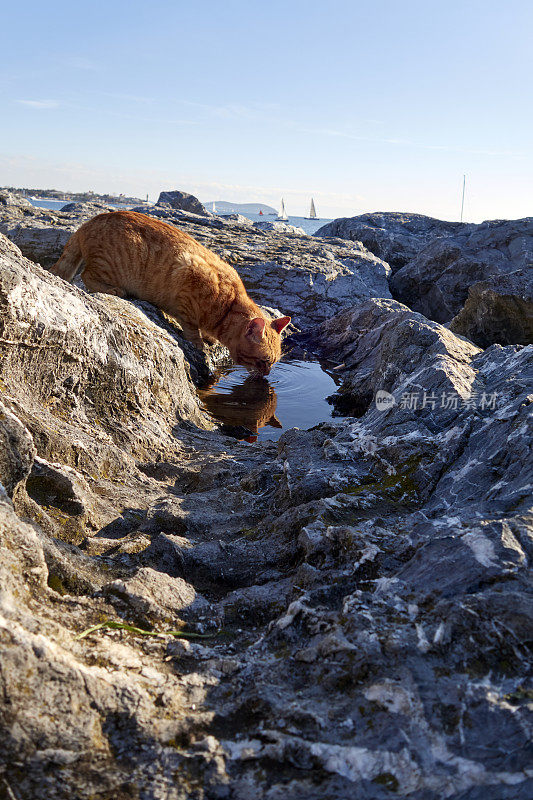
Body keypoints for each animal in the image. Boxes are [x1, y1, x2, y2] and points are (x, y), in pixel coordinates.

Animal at [51, 211, 288, 376]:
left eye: (275, 362)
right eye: (264, 361)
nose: (267, 375)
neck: (227, 308)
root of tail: (88, 222)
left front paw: (209, 337)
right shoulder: (187, 274)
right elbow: (192, 329)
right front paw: (200, 343)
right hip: (107, 266)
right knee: (86, 275)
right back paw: (114, 290)